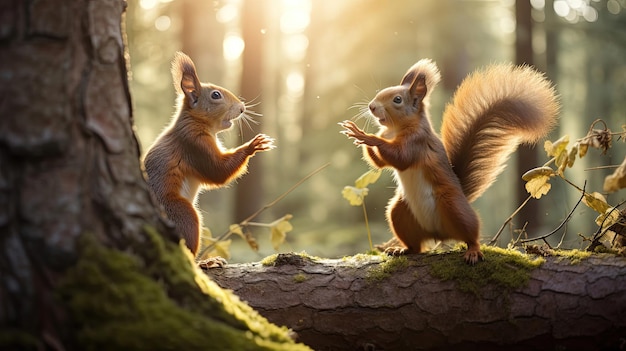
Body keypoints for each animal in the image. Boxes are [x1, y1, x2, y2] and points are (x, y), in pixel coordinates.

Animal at [146, 51, 276, 256]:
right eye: (216, 95)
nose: (242, 108)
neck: (195, 121)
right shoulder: (194, 145)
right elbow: (217, 171)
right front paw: (252, 145)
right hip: (183, 214)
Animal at [338, 59, 560, 264]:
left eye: (397, 100)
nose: (372, 106)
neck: (396, 130)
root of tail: (439, 234)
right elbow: (380, 163)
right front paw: (358, 133)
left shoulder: (417, 142)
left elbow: (401, 158)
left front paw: (367, 137)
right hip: (399, 213)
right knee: (416, 246)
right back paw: (401, 249)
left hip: (454, 207)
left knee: (471, 235)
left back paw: (473, 251)